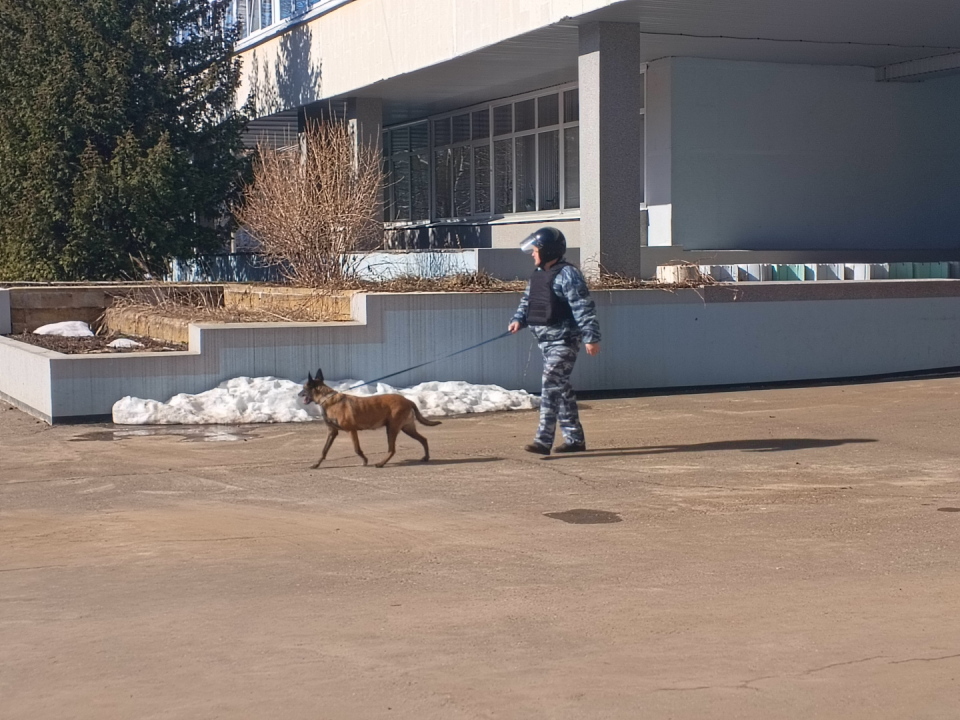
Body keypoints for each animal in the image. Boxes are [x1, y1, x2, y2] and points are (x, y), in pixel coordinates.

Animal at [298, 368, 440, 470]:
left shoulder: (351, 431)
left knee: (392, 449)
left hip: (392, 429)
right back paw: (426, 457)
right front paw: (316, 464)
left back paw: (381, 463)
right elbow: (324, 450)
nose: (298, 394)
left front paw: (365, 460)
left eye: (304, 388)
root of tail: (408, 400)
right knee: (423, 439)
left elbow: (357, 449)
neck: (328, 399)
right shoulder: (332, 432)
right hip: (407, 428)